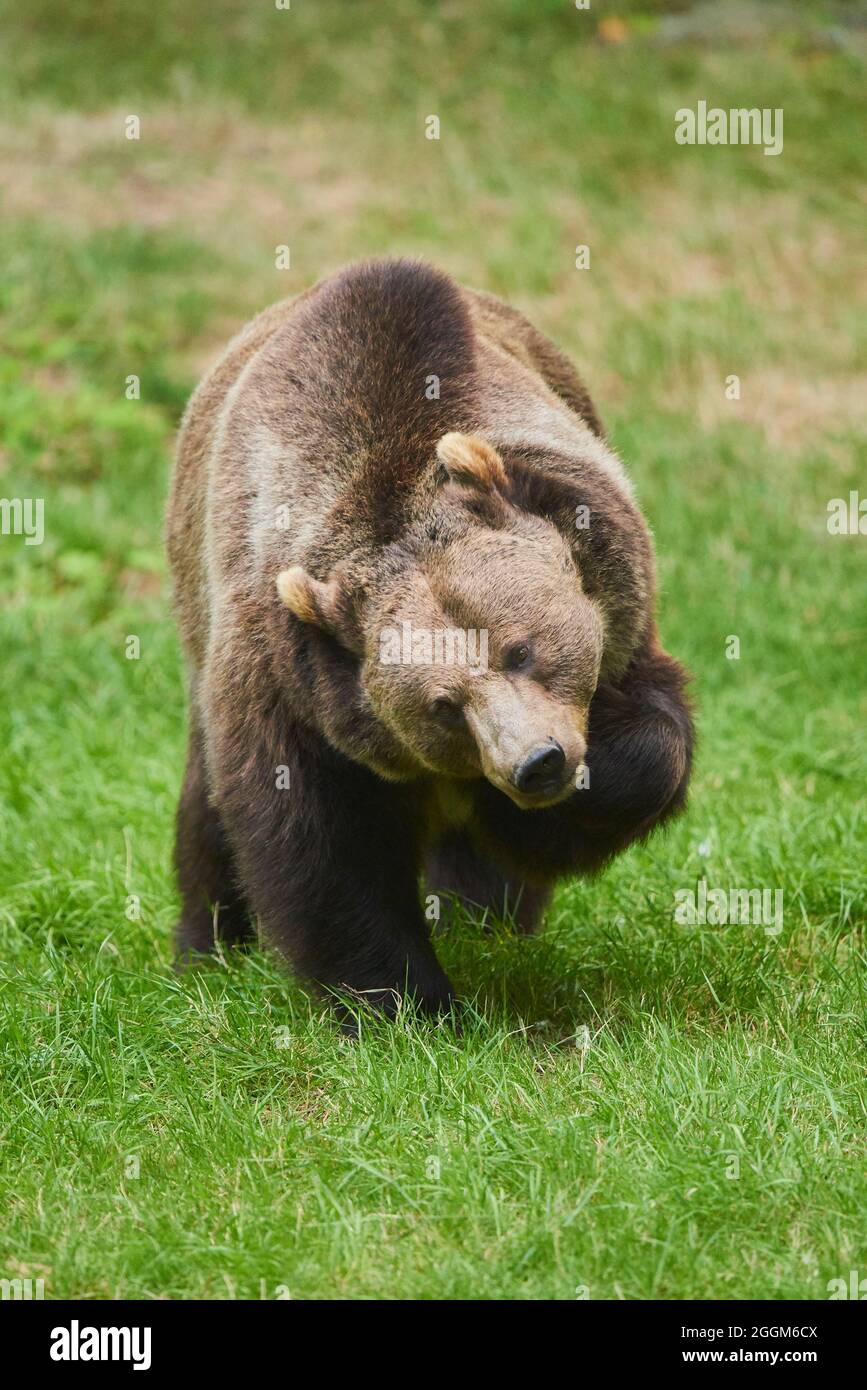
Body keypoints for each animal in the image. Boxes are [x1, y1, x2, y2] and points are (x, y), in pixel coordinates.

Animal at [166, 257, 693, 1023]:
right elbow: (321, 842)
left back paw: (483, 916)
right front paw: (404, 1002)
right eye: (442, 704)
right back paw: (206, 947)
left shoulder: (619, 604)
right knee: (206, 809)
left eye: (519, 648)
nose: (536, 763)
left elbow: (651, 743)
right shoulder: (287, 678)